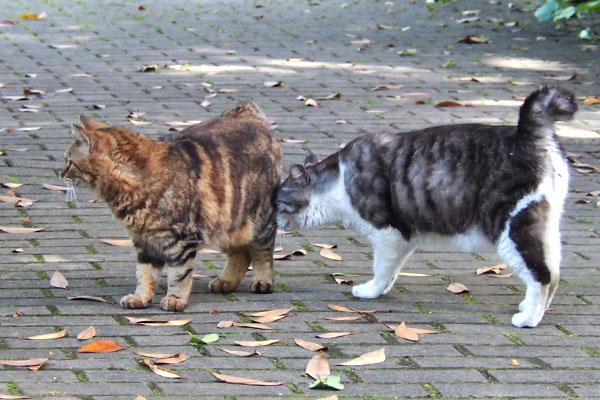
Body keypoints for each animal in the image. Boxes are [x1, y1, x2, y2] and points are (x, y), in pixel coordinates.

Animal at [62, 101, 282, 310]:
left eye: (70, 162)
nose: (60, 173)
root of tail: (248, 115)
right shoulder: (145, 241)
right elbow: (145, 274)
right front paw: (141, 297)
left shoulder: (182, 240)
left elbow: (178, 275)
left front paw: (175, 299)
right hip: (226, 224)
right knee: (241, 255)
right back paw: (225, 281)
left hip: (258, 222)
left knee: (262, 252)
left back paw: (262, 281)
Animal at [276, 87, 576, 328]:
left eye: (277, 202)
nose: (274, 223)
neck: (338, 179)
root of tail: (527, 137)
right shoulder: (403, 237)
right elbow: (391, 270)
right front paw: (383, 289)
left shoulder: (387, 233)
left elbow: (381, 268)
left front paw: (370, 291)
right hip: (544, 228)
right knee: (555, 272)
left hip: (512, 229)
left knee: (541, 276)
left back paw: (528, 319)